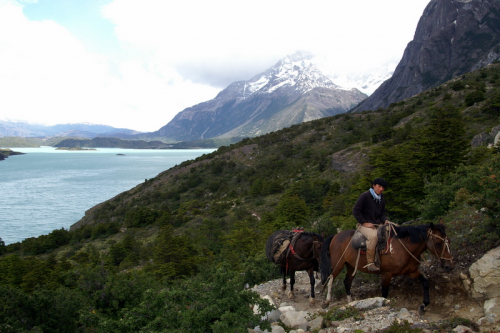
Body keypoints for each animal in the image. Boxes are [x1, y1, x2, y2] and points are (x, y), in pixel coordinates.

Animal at [322, 219, 456, 312]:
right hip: (338, 264)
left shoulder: (411, 271)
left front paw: (423, 305)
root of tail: (335, 236)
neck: (402, 247)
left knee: (347, 282)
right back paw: (327, 301)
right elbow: (385, 294)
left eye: (449, 241)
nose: (450, 266)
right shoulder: (386, 274)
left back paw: (350, 303)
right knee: (330, 278)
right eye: (438, 243)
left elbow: (425, 282)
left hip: (350, 265)